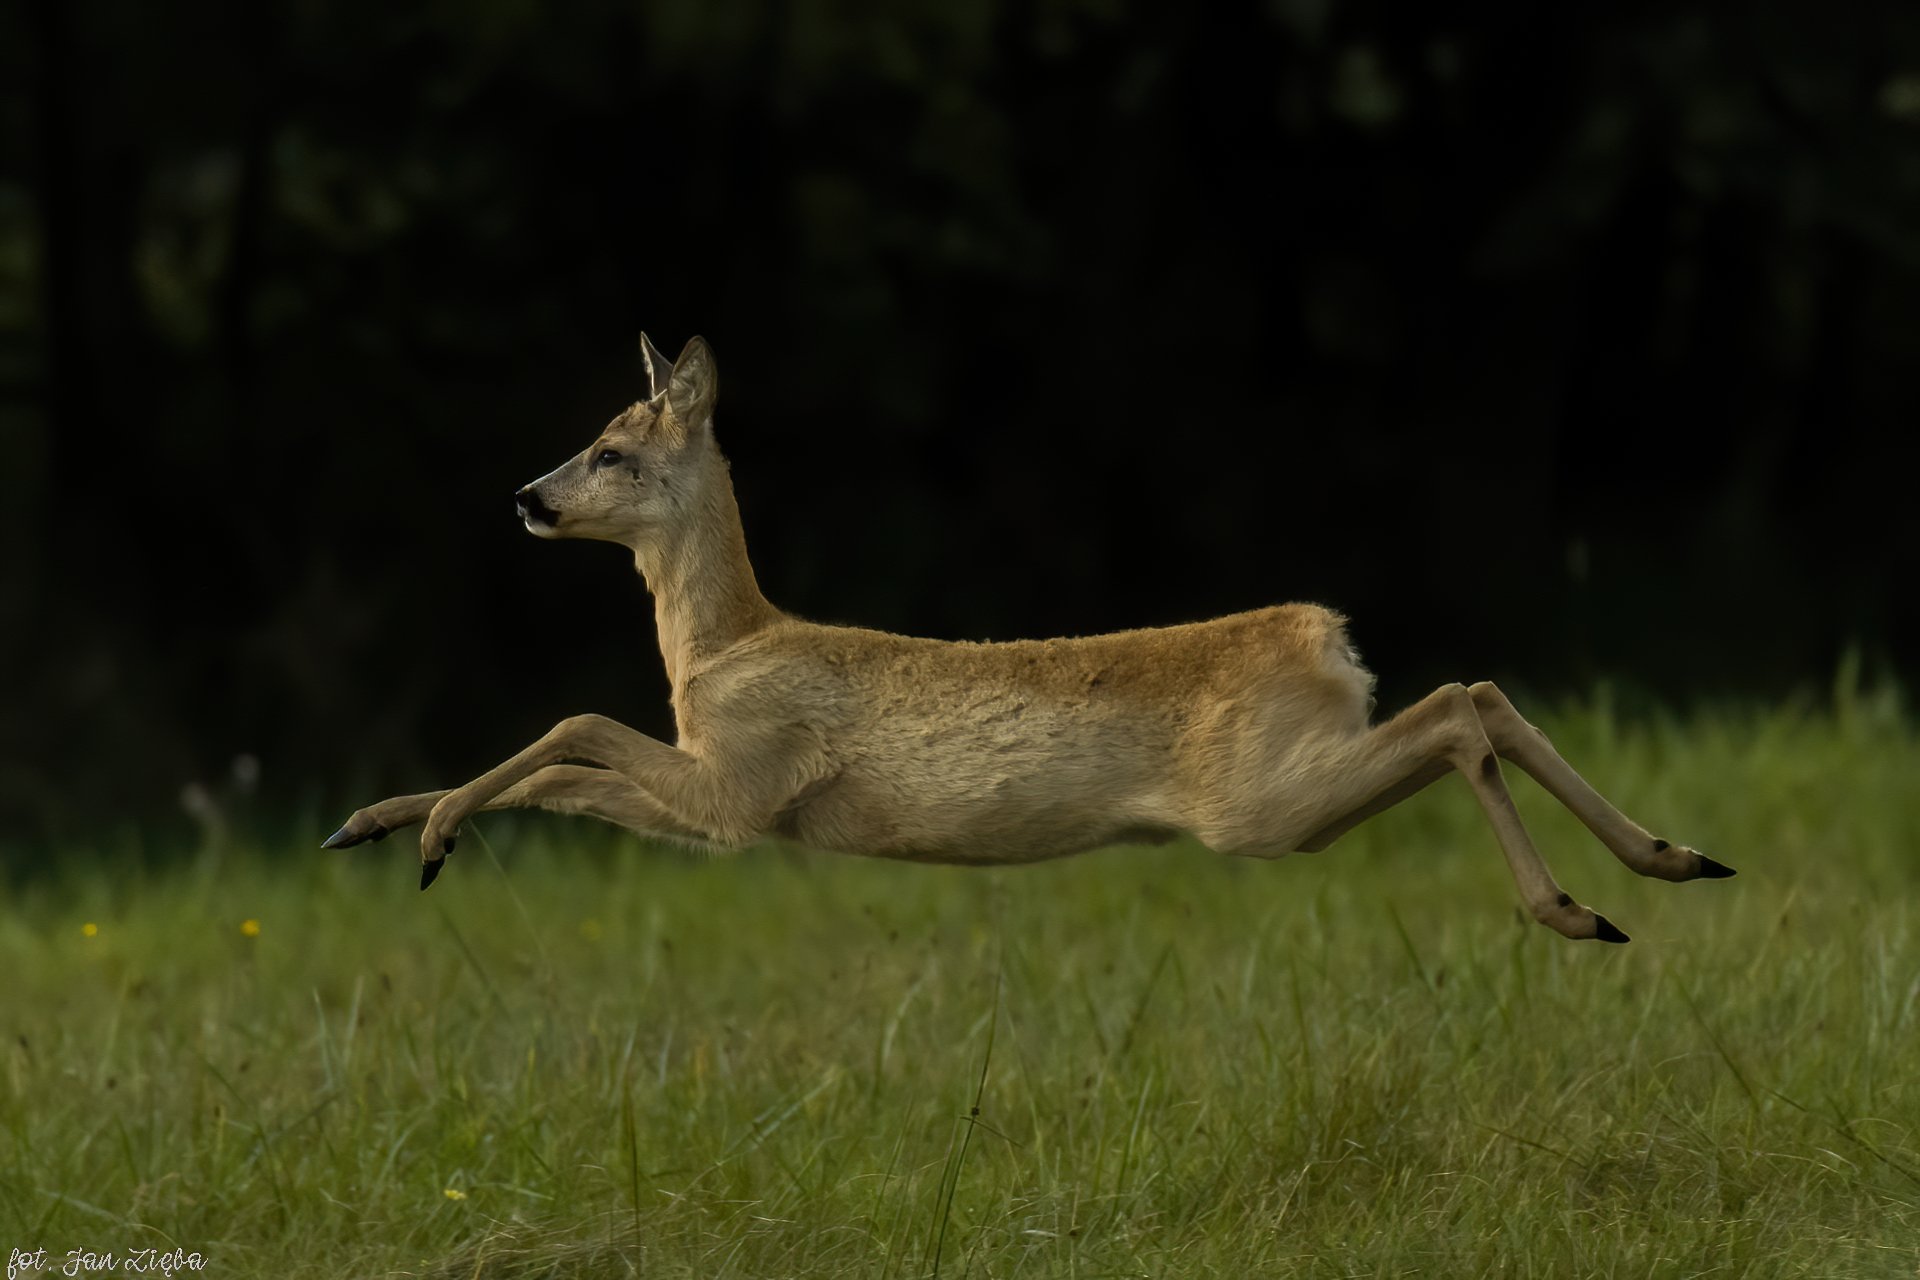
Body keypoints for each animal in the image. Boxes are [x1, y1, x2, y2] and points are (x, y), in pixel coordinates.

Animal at [322, 337, 1735, 940]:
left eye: (613, 447)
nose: (526, 496)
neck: (721, 646)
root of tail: (1323, 634)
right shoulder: (727, 808)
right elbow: (566, 773)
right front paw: (378, 826)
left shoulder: (743, 780)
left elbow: (572, 724)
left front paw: (427, 830)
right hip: (1300, 775)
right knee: (1479, 693)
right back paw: (1671, 861)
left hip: (1263, 799)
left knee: (1457, 704)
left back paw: (1580, 907)